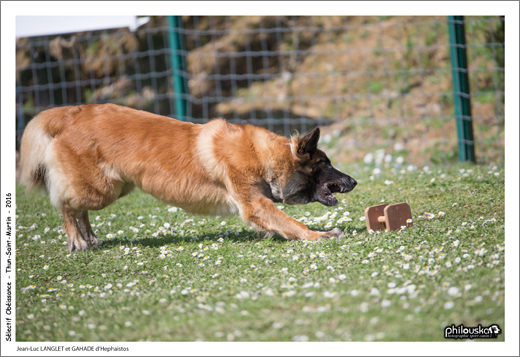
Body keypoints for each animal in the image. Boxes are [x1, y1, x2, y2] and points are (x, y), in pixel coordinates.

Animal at [18, 103, 356, 253]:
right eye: (325, 163)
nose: (353, 182)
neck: (264, 157)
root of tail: (68, 113)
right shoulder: (254, 203)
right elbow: (291, 223)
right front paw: (319, 235)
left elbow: (281, 223)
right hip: (100, 190)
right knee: (66, 204)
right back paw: (76, 240)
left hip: (113, 187)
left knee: (78, 208)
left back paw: (89, 237)